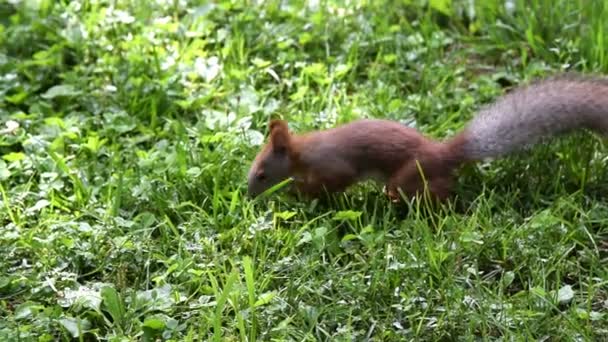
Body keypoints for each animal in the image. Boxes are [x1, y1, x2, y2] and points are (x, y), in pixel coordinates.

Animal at [246, 73, 608, 202]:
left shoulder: (333, 165)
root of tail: (445, 153)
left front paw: (299, 192)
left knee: (437, 191)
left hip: (407, 176)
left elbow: (333, 182)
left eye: (262, 174)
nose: (248, 195)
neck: (302, 153)